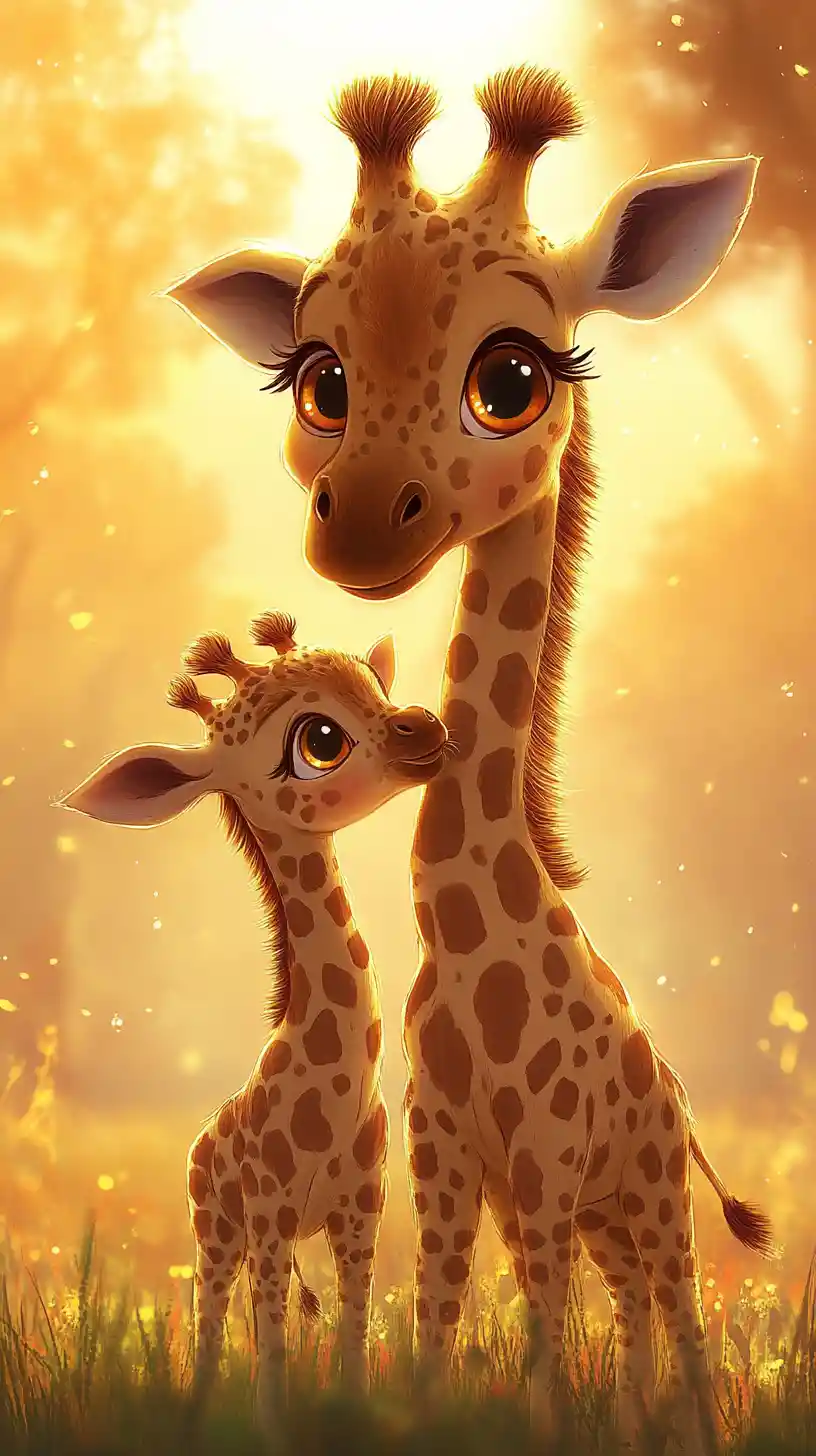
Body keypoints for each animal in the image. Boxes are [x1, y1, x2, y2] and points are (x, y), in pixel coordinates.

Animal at [60, 609, 448, 1433]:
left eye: (373, 683)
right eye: (318, 741)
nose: (423, 726)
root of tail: (201, 1136)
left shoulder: (362, 1205)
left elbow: (353, 1317)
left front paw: (352, 1413)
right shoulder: (269, 1213)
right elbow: (269, 1332)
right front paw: (272, 1428)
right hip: (213, 1224)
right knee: (213, 1313)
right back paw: (197, 1409)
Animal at [162, 68, 772, 1449]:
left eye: (513, 376)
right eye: (320, 378)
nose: (358, 521)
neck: (472, 925)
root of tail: (685, 1100)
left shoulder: (538, 1165)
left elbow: (538, 1339)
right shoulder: (446, 1163)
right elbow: (440, 1323)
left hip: (646, 1192)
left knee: (681, 1317)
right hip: (607, 1213)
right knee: (637, 1317)